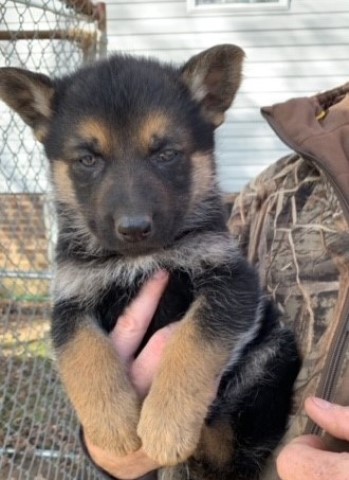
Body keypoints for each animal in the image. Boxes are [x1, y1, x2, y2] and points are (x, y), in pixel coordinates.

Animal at [0, 46, 300, 480]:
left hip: (270, 358)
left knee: (228, 448)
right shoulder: (69, 302)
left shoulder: (231, 281)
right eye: (87, 159)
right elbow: (84, 353)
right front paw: (114, 426)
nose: (134, 228)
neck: (139, 259)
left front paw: (166, 425)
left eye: (166, 154)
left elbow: (192, 343)